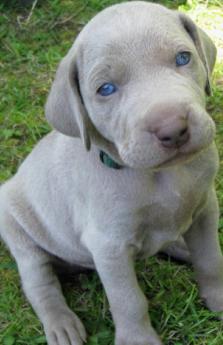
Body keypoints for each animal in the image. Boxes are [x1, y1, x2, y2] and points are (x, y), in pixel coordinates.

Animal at [0, 2, 223, 344]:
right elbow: (129, 300)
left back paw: (181, 247)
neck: (160, 175)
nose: (173, 129)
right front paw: (139, 340)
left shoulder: (205, 208)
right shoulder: (109, 246)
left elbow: (211, 259)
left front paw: (219, 298)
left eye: (183, 58)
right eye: (105, 89)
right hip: (19, 233)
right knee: (39, 284)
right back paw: (61, 324)